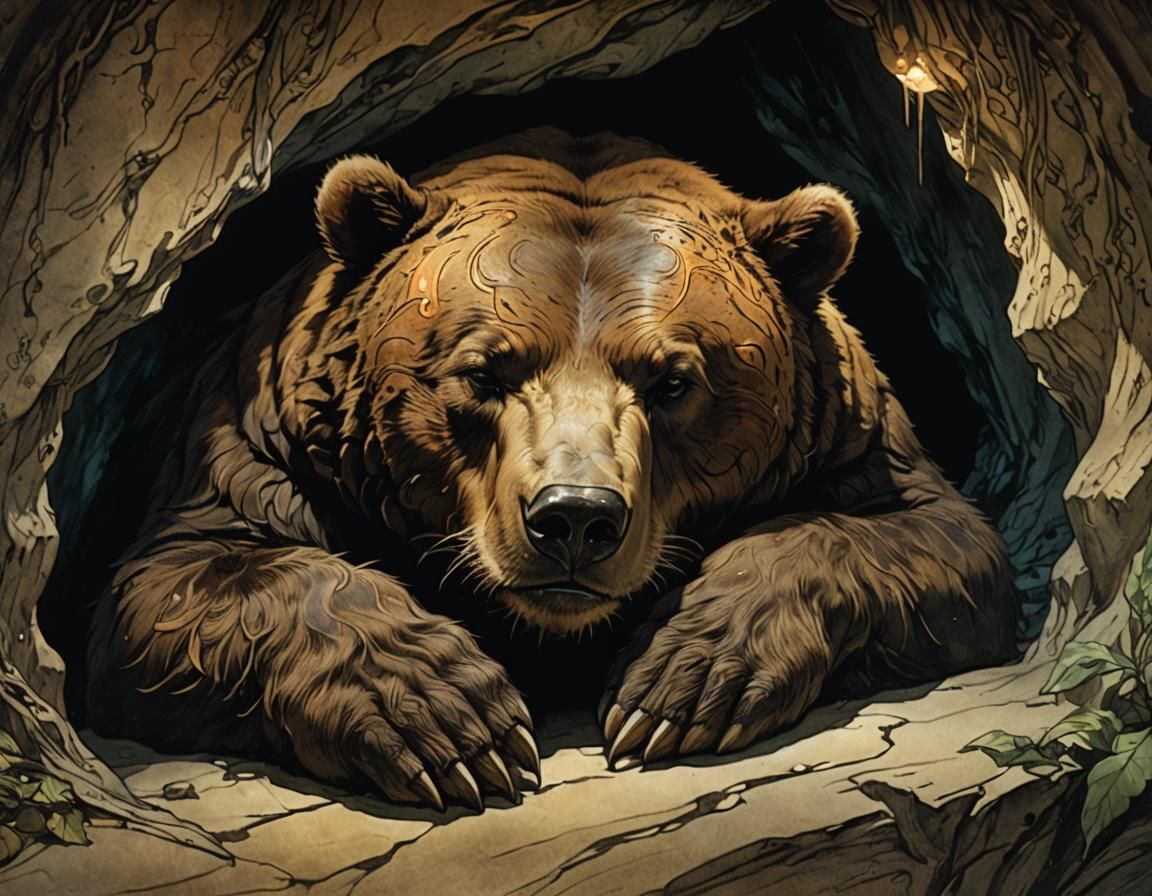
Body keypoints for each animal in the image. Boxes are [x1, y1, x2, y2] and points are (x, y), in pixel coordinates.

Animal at [86, 128, 1018, 811]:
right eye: (484, 371)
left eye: (672, 379)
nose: (575, 516)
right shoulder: (269, 436)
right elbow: (185, 579)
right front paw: (453, 720)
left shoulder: (848, 435)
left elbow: (933, 536)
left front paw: (678, 681)